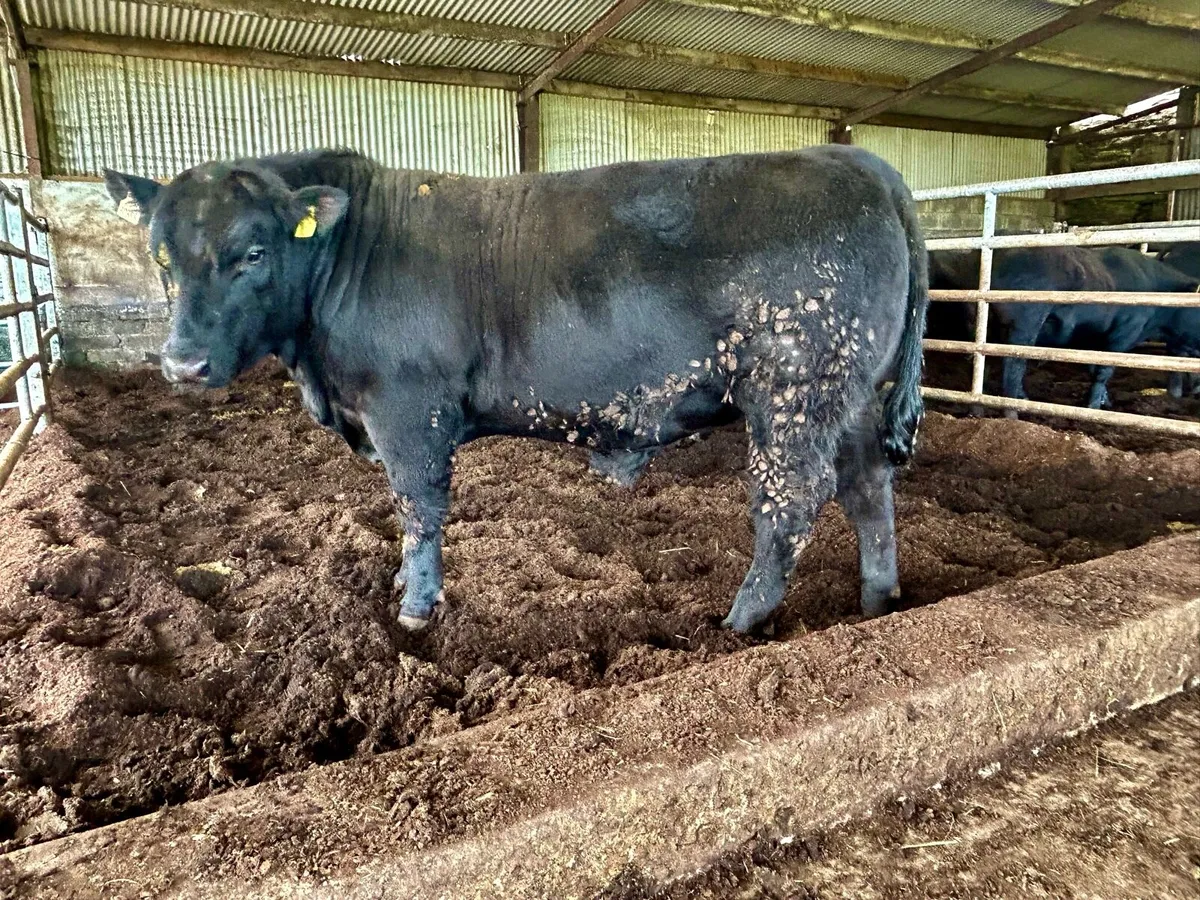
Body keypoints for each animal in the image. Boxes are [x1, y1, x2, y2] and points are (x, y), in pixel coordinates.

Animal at [104, 146, 928, 634]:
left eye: (251, 252)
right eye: (163, 257)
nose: (181, 364)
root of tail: (853, 157)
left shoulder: (409, 409)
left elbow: (419, 508)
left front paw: (415, 609)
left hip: (794, 387)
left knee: (792, 500)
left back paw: (742, 622)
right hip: (849, 390)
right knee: (866, 482)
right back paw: (877, 600)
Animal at [928, 246, 1200, 409]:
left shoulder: (1092, 338)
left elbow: (1094, 368)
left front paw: (1105, 402)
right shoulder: (1123, 334)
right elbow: (1104, 371)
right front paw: (1093, 407)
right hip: (1024, 324)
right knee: (1013, 368)